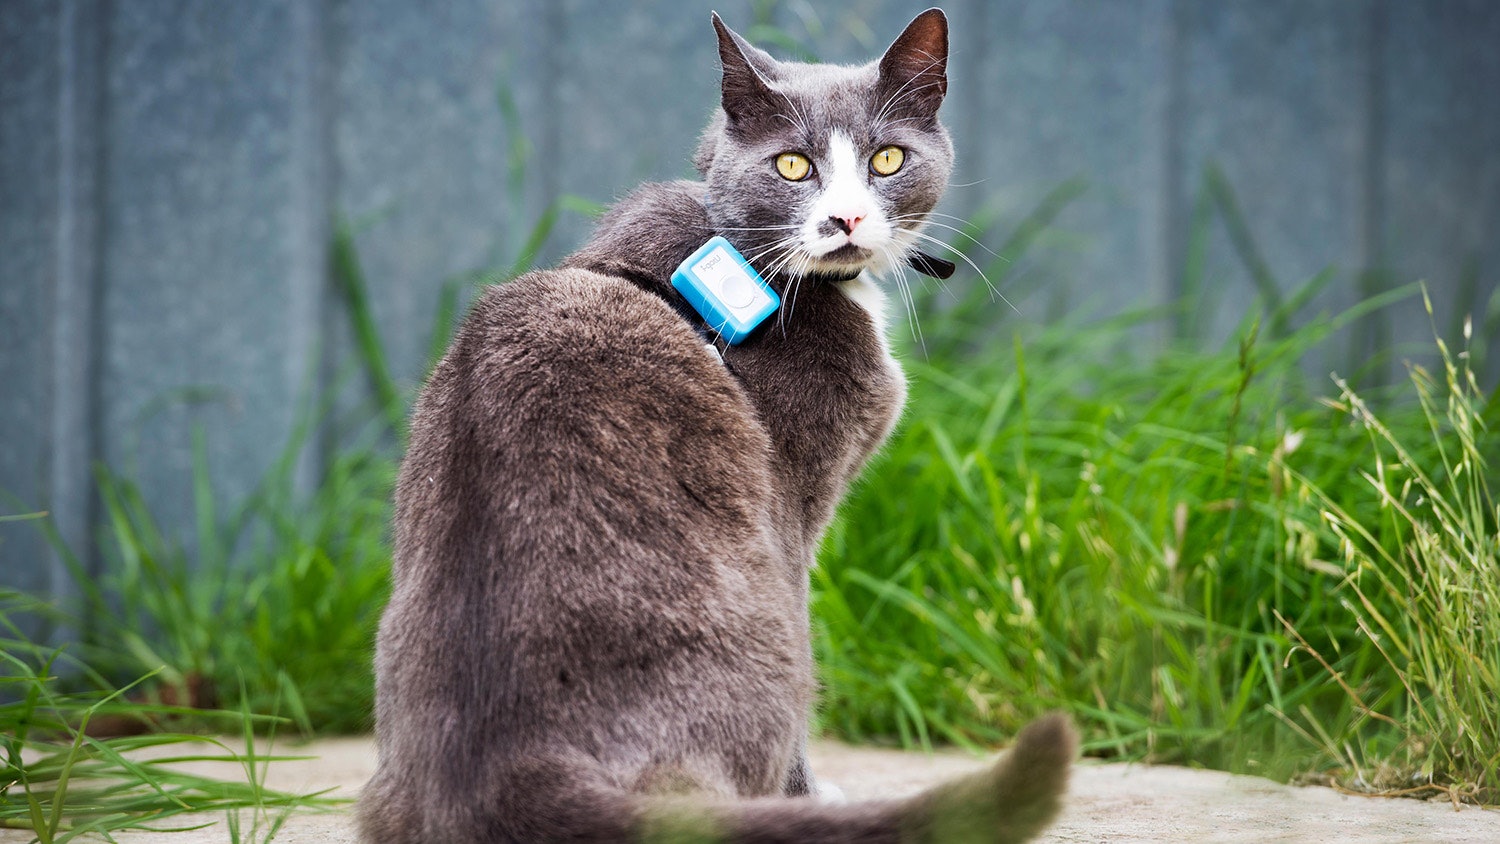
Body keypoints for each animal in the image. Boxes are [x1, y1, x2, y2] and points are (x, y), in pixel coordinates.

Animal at [357, 8, 1074, 844]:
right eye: (792, 166)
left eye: (887, 159)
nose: (846, 217)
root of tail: (507, 776)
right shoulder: (792, 494)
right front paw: (809, 796)